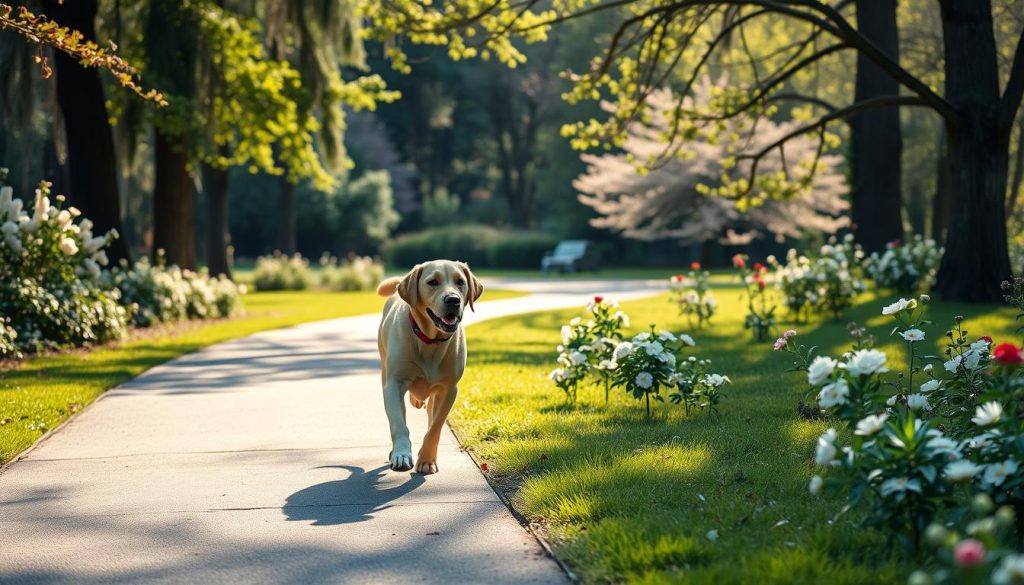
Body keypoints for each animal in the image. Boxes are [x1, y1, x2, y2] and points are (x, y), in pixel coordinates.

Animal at [376, 262, 483, 473]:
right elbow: (398, 424)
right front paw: (401, 453)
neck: (429, 341)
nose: (453, 300)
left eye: (460, 282)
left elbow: (435, 427)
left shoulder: (448, 389)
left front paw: (426, 459)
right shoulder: (393, 384)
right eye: (432, 282)